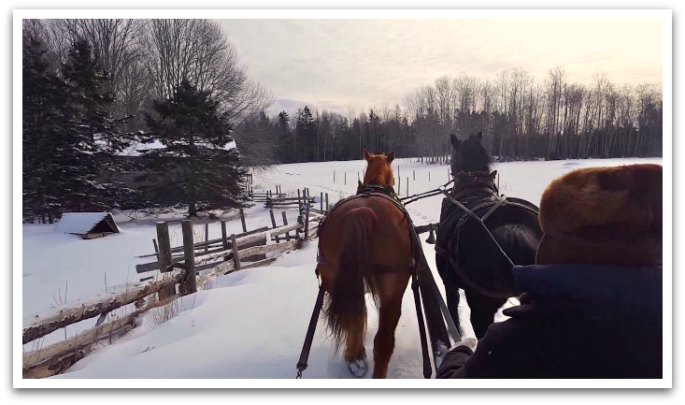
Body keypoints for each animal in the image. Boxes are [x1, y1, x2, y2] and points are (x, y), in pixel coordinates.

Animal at [316, 150, 412, 378]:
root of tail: (360, 214)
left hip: (333, 278)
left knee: (352, 320)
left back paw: (355, 357)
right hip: (393, 288)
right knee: (384, 341)